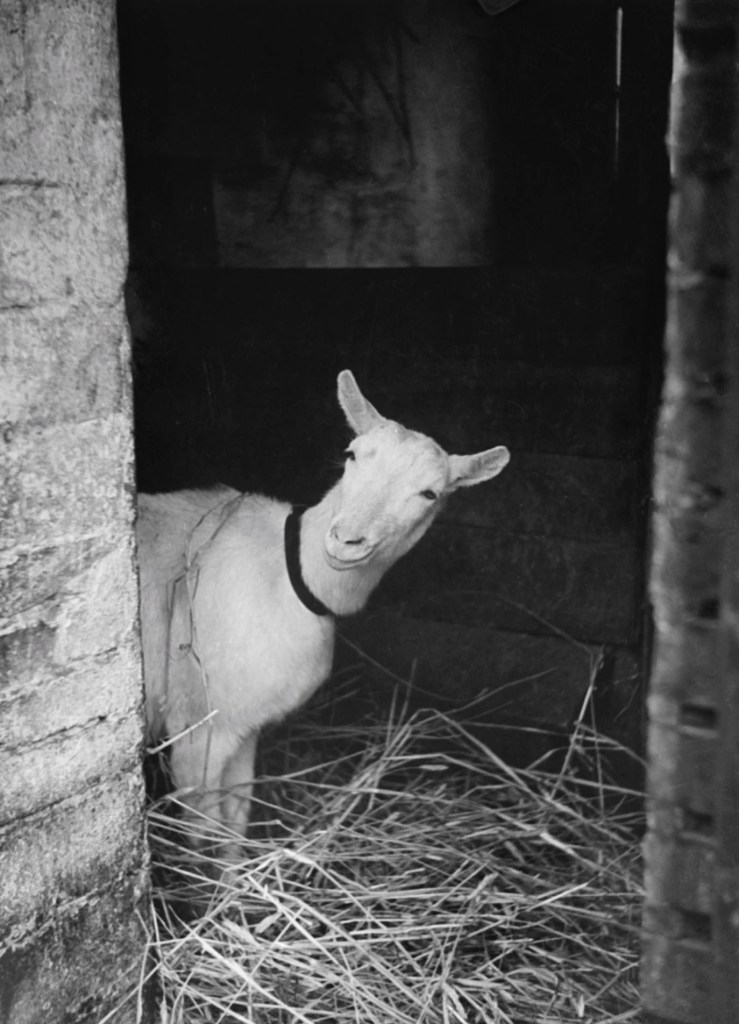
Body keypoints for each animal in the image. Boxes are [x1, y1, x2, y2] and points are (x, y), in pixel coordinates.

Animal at [137, 370, 510, 849]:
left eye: (430, 493)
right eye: (352, 455)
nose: (346, 540)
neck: (288, 574)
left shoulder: (243, 724)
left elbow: (235, 821)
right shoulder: (195, 724)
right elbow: (206, 835)